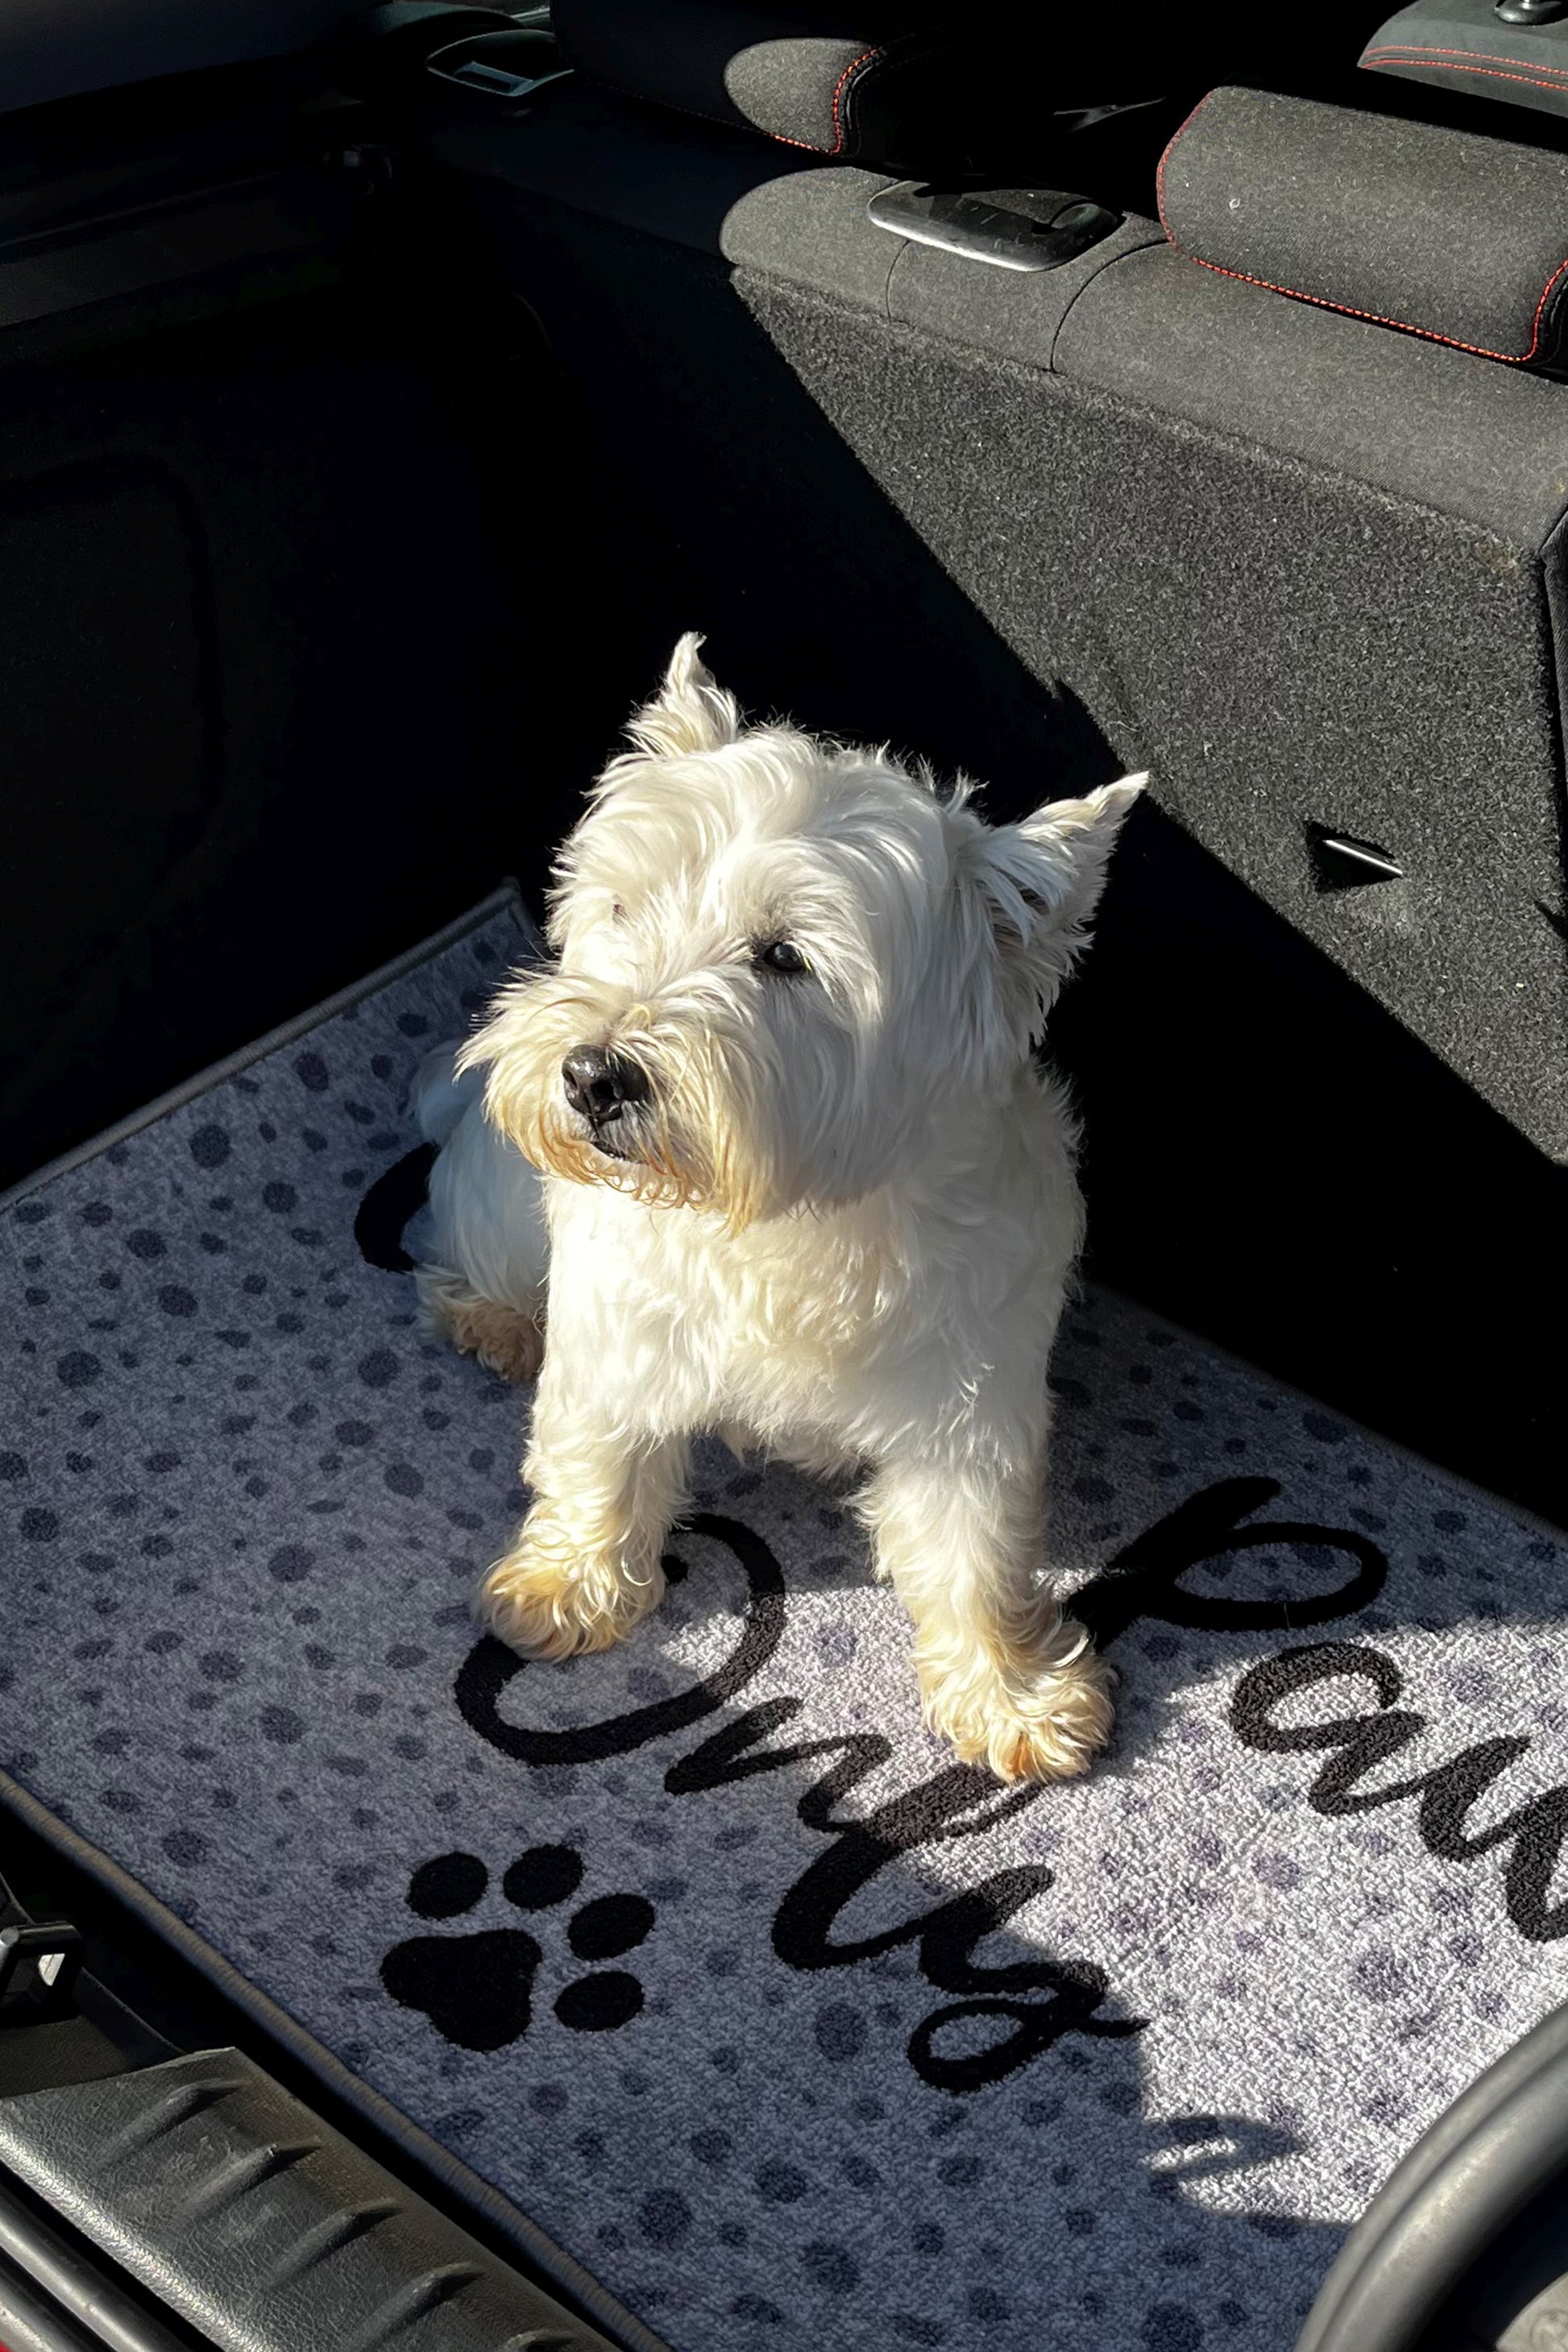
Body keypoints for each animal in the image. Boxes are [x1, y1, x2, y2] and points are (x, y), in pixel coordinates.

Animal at [414, 636, 1143, 1782]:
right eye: (623, 908)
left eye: (784, 957)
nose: (590, 1075)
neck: (789, 1220)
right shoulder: (617, 1325)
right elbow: (593, 1451)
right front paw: (563, 1587)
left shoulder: (969, 1390)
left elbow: (973, 1547)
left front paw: (1011, 1696)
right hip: (497, 1196)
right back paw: (493, 1321)